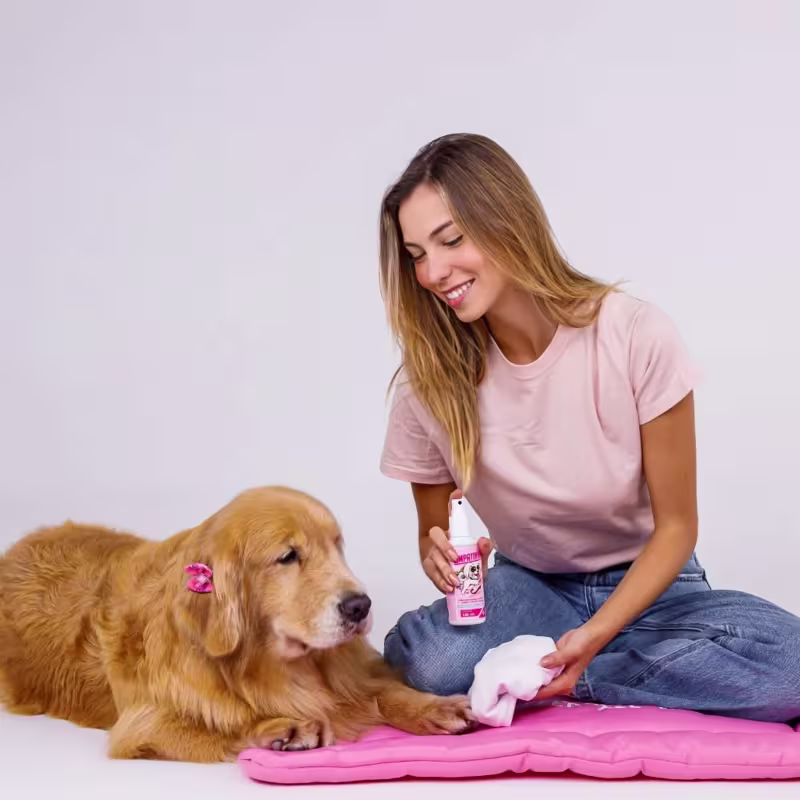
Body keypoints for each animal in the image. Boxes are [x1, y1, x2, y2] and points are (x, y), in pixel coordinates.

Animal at [0, 486, 473, 761]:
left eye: (336, 546)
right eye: (288, 556)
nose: (360, 606)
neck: (270, 664)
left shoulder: (353, 670)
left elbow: (384, 689)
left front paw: (433, 706)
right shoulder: (145, 721)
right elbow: (220, 722)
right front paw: (281, 727)